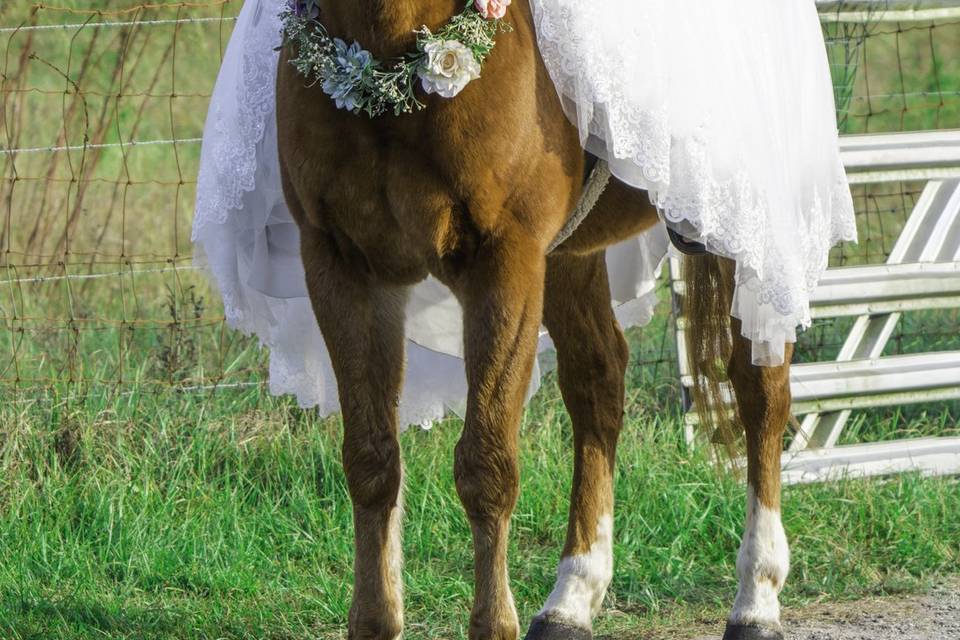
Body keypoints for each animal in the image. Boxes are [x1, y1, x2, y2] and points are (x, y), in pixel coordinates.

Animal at [278, 1, 796, 640]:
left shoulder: (506, 263)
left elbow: (486, 462)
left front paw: (494, 623)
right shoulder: (341, 267)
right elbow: (371, 458)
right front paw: (376, 620)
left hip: (750, 233)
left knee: (760, 389)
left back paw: (756, 600)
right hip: (571, 255)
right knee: (599, 382)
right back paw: (571, 600)